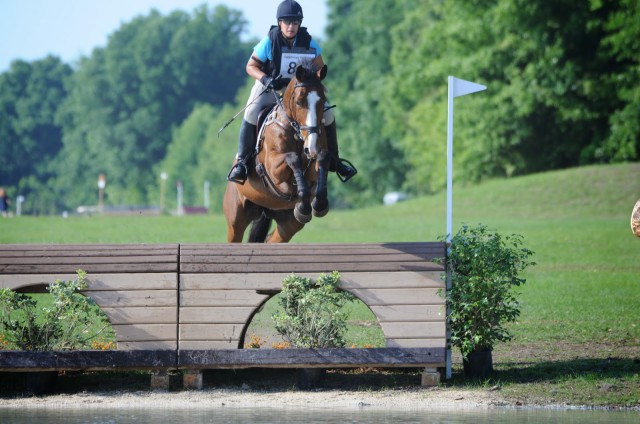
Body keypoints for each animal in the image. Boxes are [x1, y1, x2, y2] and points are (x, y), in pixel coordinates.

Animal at [222, 62, 330, 242]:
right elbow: (292, 158)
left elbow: (323, 158)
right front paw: (302, 195)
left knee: (272, 238)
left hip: (288, 224)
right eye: (299, 102)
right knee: (235, 233)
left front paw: (318, 203)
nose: (312, 146)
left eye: (322, 100)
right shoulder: (274, 168)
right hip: (235, 219)